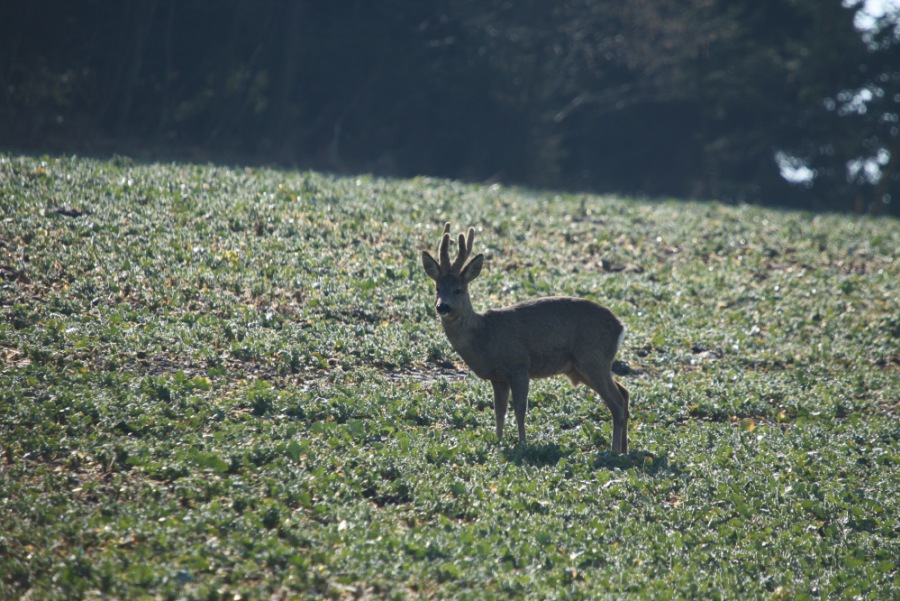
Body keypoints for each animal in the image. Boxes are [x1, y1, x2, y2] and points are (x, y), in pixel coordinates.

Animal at [421, 223, 631, 454]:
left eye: (458, 289)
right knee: (624, 393)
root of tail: (620, 327)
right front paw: (498, 442)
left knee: (617, 402)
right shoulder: (498, 377)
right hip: (586, 366)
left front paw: (522, 444)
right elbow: (499, 410)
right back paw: (624, 449)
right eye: (437, 288)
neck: (485, 335)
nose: (442, 306)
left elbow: (520, 408)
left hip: (593, 359)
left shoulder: (519, 364)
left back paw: (614, 452)